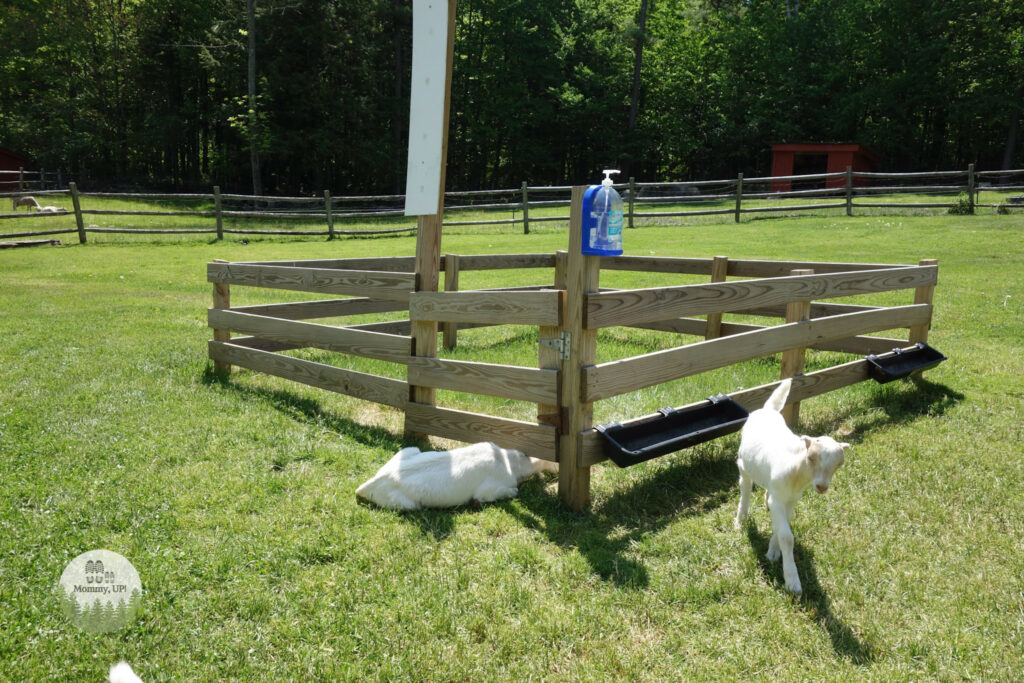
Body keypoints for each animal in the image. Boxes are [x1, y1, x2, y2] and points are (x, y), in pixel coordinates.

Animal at [356, 440, 557, 509]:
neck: (509, 462)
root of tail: (365, 486)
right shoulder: (489, 491)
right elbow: (513, 491)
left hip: (409, 449)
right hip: (406, 504)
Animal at [733, 378, 851, 593]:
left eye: (839, 465)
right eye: (811, 458)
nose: (822, 487)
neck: (797, 471)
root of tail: (768, 410)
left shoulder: (790, 500)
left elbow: (781, 528)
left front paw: (772, 552)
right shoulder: (780, 499)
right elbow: (787, 537)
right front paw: (792, 581)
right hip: (743, 464)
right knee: (745, 487)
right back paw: (740, 520)